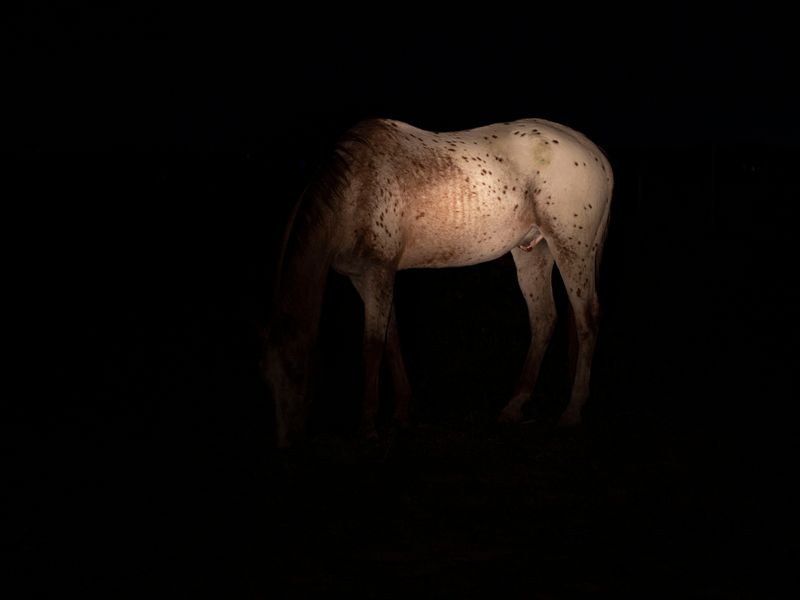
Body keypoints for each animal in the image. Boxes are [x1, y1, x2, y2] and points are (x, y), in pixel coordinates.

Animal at [261, 118, 613, 447]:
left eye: (298, 372)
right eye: (268, 378)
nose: (287, 444)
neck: (354, 191)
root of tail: (594, 153)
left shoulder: (378, 273)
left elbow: (372, 346)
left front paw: (368, 426)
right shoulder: (362, 278)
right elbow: (392, 340)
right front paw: (402, 413)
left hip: (572, 249)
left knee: (587, 320)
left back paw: (572, 411)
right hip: (533, 252)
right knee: (544, 319)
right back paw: (513, 407)